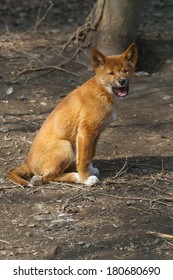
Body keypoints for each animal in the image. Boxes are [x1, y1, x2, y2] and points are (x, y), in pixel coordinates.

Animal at [7, 43, 138, 186]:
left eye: (126, 70)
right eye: (111, 73)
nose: (122, 81)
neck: (103, 92)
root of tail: (27, 163)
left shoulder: (96, 133)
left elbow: (90, 154)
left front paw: (90, 170)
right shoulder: (85, 131)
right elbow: (84, 158)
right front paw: (85, 178)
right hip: (65, 146)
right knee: (48, 177)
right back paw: (76, 177)